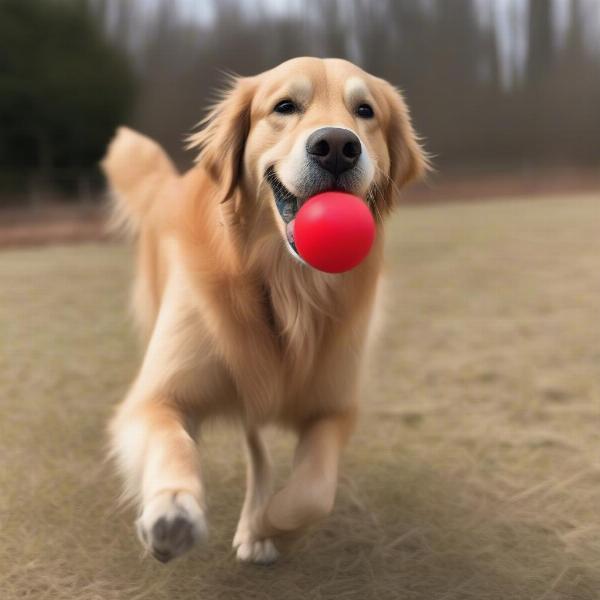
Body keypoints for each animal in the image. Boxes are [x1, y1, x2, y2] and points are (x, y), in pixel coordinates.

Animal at [103, 56, 428, 564]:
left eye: (365, 111)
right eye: (285, 106)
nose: (337, 147)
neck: (286, 284)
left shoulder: (334, 407)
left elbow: (314, 492)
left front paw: (268, 526)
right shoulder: (156, 396)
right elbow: (173, 441)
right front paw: (173, 508)